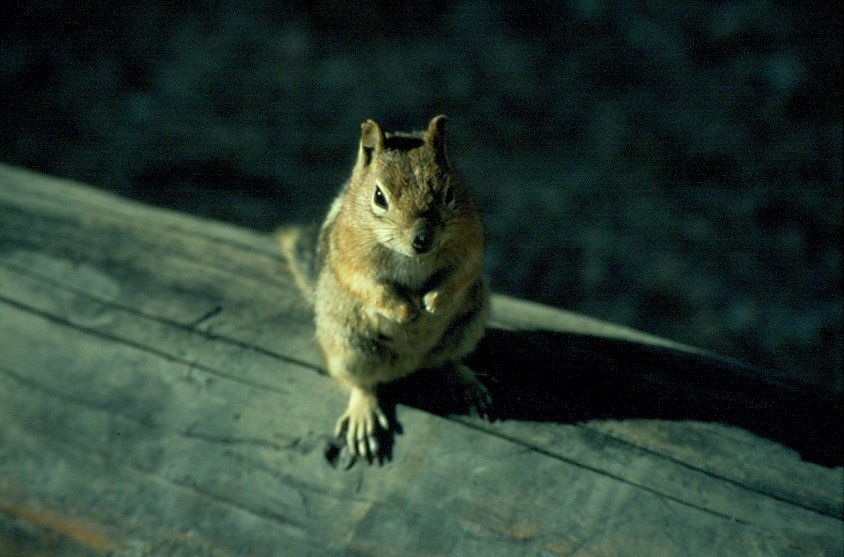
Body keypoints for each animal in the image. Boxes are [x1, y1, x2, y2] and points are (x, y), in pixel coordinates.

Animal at [280, 115, 488, 458]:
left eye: (449, 192)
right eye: (379, 197)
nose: (422, 239)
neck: (412, 258)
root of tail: (408, 366)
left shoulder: (471, 242)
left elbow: (461, 273)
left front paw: (434, 302)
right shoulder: (350, 256)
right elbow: (369, 286)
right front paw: (405, 311)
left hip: (469, 324)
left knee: (445, 361)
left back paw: (464, 382)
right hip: (349, 348)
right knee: (363, 385)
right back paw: (363, 415)